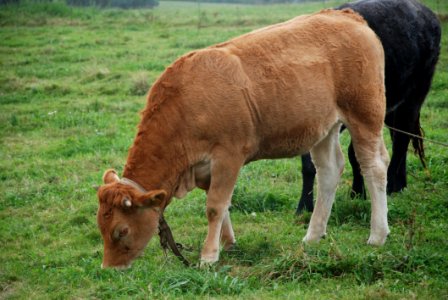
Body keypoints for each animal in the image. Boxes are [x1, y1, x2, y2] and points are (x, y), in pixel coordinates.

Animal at [97, 8, 388, 268]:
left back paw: (377, 235)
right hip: (323, 128)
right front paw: (228, 243)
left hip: (365, 114)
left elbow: (215, 206)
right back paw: (313, 235)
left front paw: (208, 256)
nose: (109, 268)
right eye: (100, 225)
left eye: (121, 230)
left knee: (374, 166)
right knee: (329, 170)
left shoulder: (228, 156)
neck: (184, 104)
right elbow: (223, 205)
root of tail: (346, 15)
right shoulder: (206, 169)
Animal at [298, 0, 440, 213]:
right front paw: (305, 206)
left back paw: (391, 186)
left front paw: (358, 193)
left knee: (402, 140)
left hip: (414, 96)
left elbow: (354, 154)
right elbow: (310, 163)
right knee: (398, 136)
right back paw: (401, 184)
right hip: (391, 107)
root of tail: (426, 13)